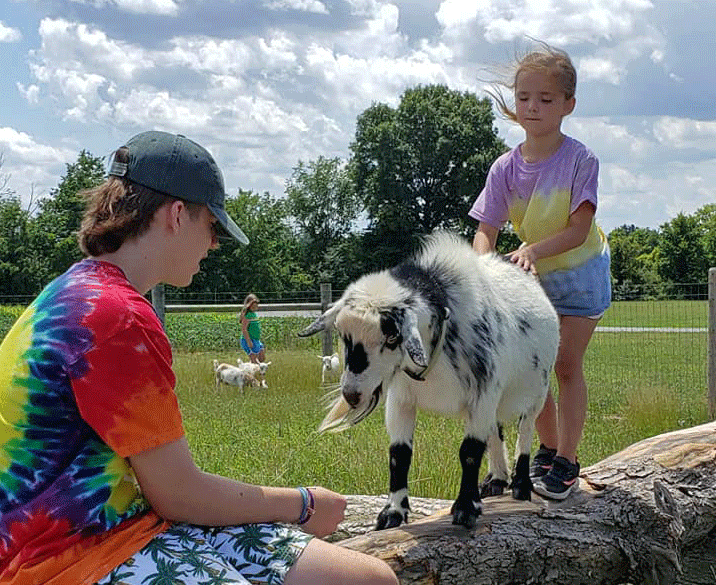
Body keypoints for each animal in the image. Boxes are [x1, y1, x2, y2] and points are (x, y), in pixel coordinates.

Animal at [296, 232, 560, 528]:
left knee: (525, 432)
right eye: (344, 336)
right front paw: (393, 512)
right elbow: (399, 454)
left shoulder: (483, 393)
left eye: (392, 336)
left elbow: (470, 451)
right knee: (496, 430)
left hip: (537, 390)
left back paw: (521, 485)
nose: (352, 394)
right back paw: (496, 480)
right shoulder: (401, 398)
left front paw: (466, 508)